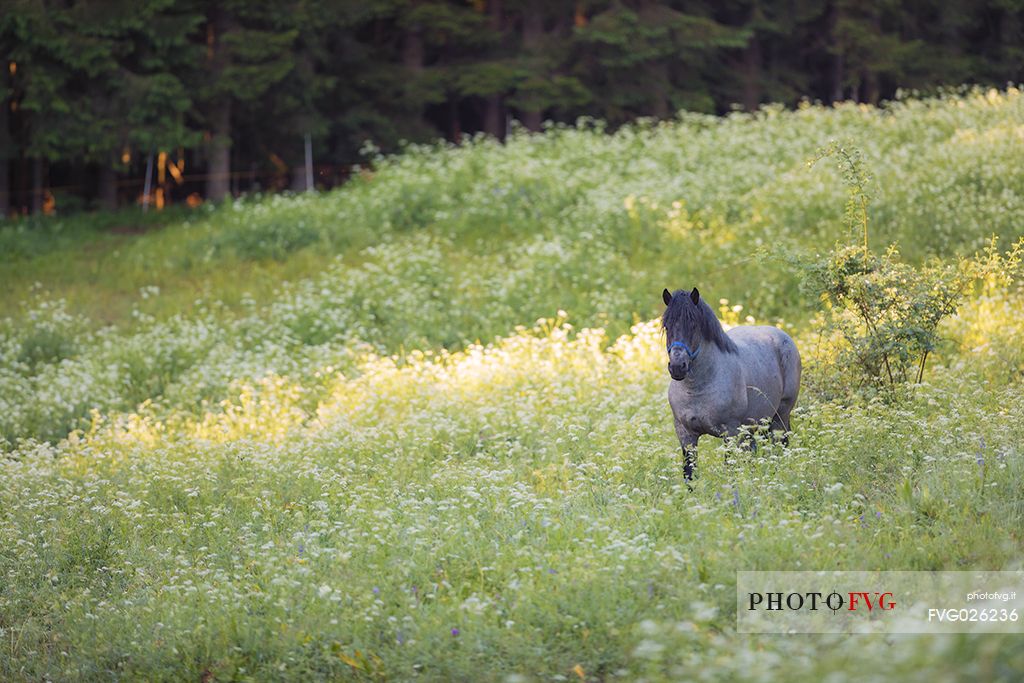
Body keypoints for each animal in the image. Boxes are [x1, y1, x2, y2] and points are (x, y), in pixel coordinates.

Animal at [659, 286, 802, 479]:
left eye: (694, 325)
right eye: (667, 326)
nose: (677, 367)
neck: (697, 389)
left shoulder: (731, 433)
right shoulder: (686, 435)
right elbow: (689, 473)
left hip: (780, 416)